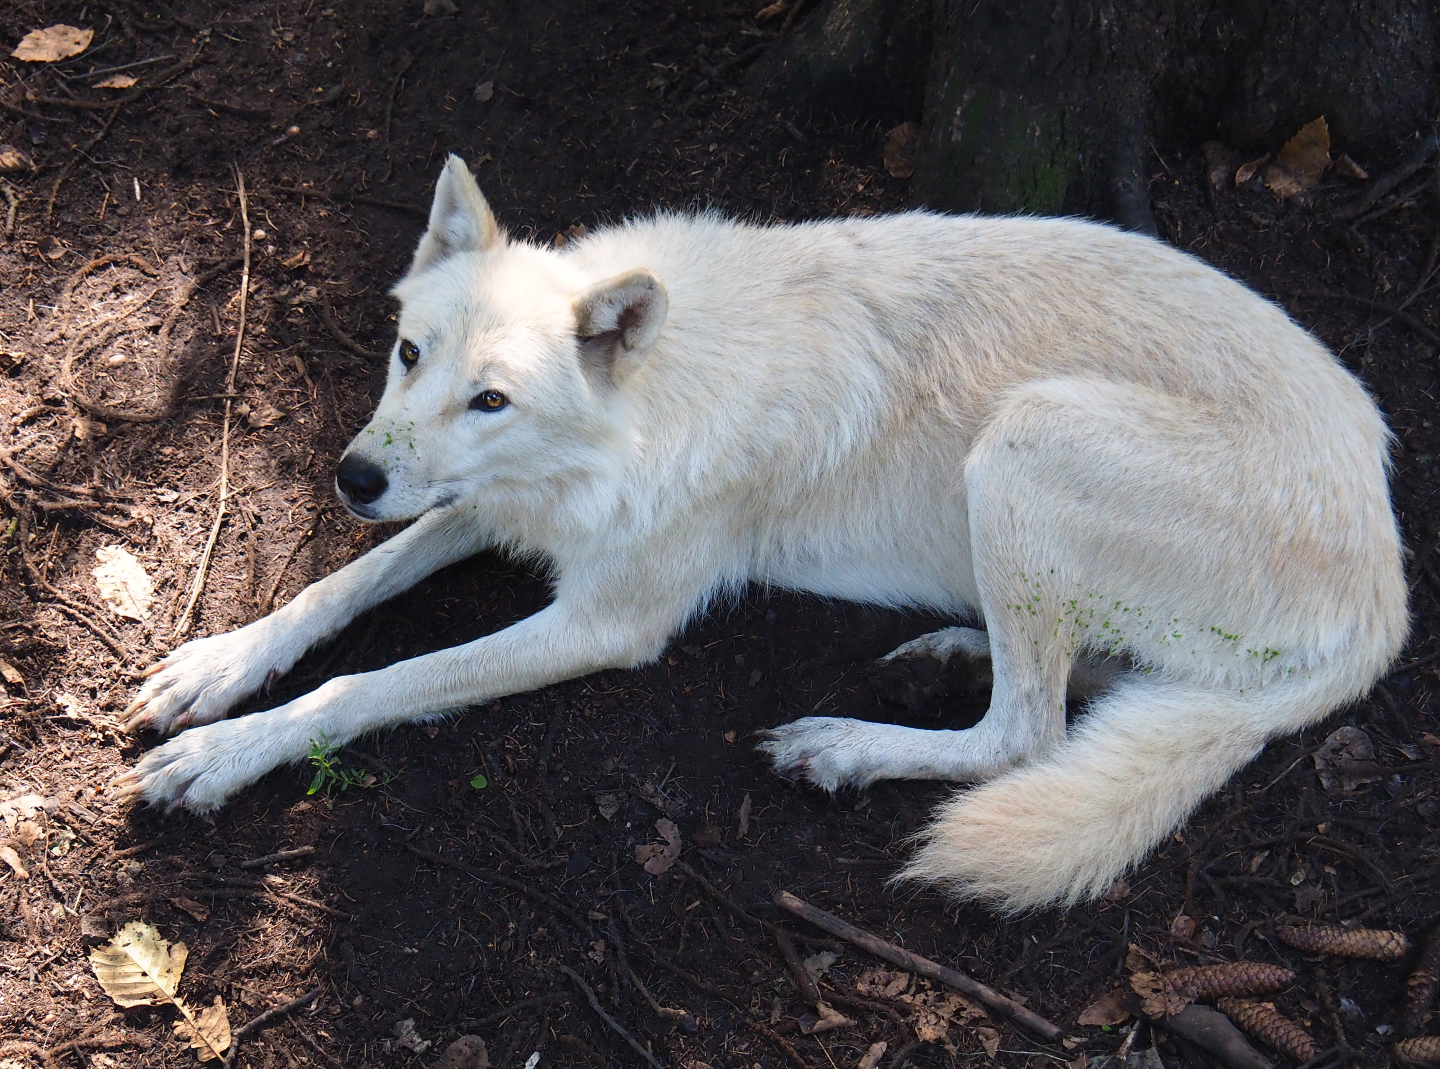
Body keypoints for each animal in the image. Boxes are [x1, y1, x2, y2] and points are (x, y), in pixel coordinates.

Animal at [118, 155, 1406, 912]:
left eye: (492, 398)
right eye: (408, 353)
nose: (352, 477)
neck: (649, 400)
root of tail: (1390, 598)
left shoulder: (608, 619)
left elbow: (370, 683)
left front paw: (222, 757)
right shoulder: (495, 504)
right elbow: (339, 589)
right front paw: (215, 669)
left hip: (1028, 438)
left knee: (1028, 737)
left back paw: (845, 743)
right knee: (1081, 685)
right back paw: (945, 655)